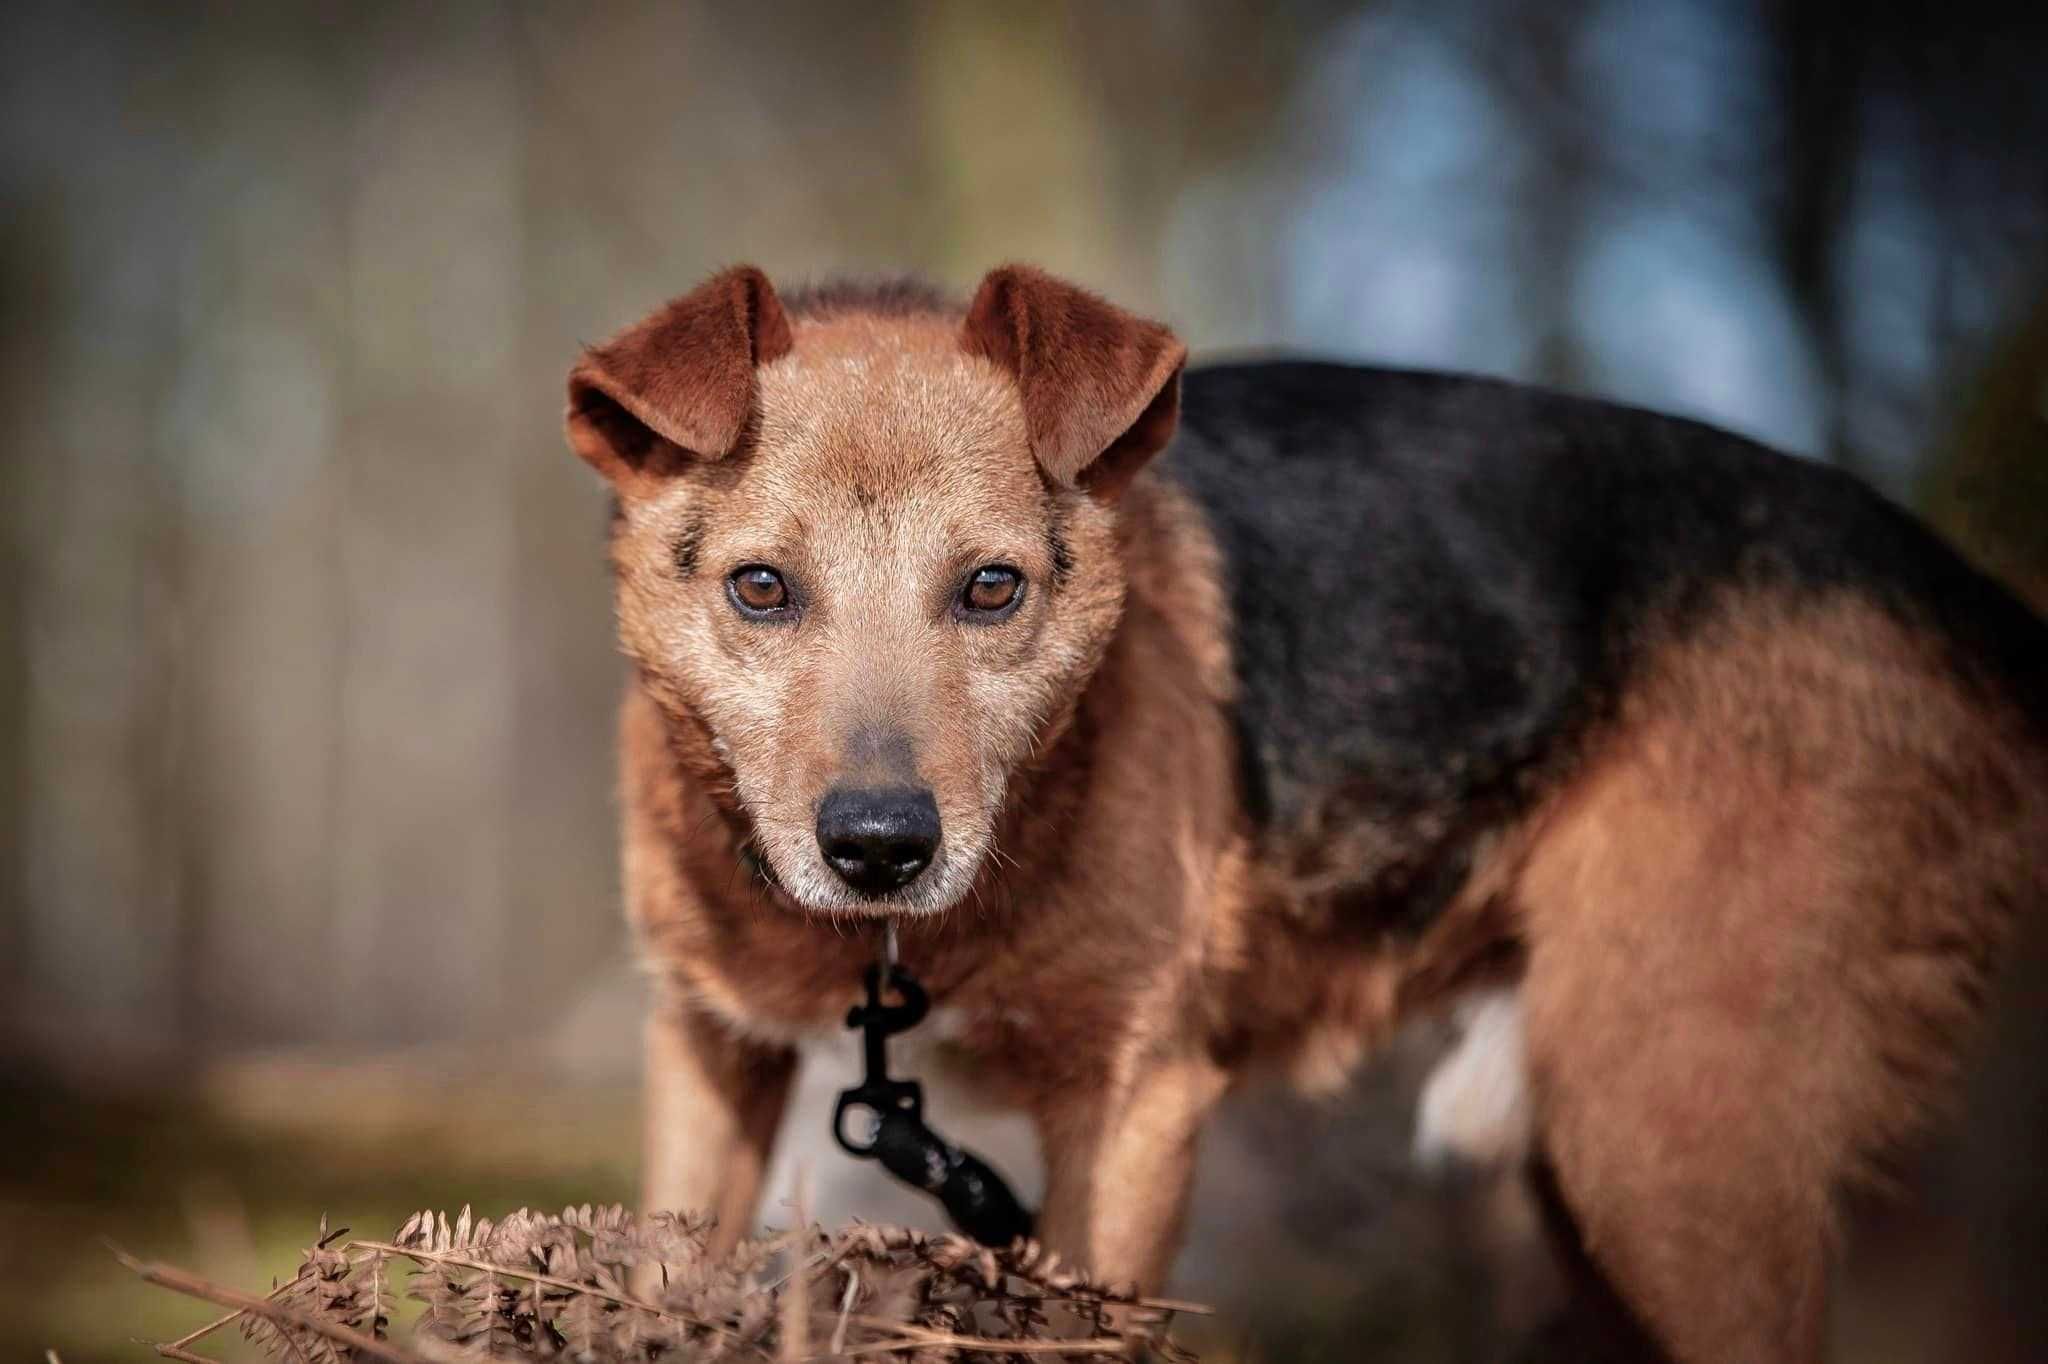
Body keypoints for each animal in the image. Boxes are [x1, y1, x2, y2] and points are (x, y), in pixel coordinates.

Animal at [565, 260, 2048, 1351]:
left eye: (991, 589)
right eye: (760, 589)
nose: (879, 848)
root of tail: (1964, 599)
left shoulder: (1131, 1106)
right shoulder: (708, 1051)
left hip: (1673, 1134)